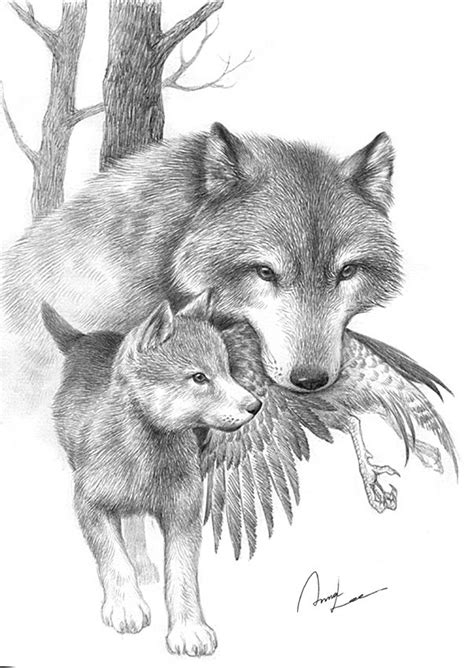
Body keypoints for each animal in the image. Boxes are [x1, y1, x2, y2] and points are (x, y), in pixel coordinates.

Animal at [41, 291, 260, 656]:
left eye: (228, 371)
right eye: (199, 377)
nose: (255, 405)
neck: (149, 452)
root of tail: (84, 339)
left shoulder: (183, 511)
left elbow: (182, 576)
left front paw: (189, 630)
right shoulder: (89, 504)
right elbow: (114, 559)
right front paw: (126, 606)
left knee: (134, 521)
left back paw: (144, 565)